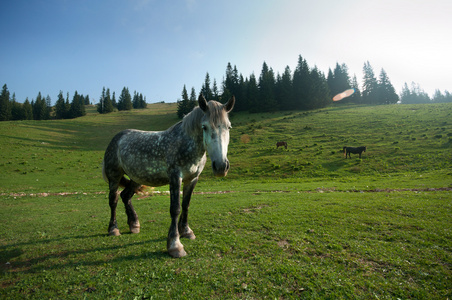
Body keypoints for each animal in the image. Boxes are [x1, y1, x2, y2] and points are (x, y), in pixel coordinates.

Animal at [103, 95, 235, 256]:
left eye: (228, 127)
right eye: (204, 127)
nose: (221, 166)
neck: (185, 143)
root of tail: (116, 138)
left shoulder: (192, 179)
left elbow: (186, 205)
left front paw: (186, 231)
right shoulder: (175, 177)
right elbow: (175, 208)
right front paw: (175, 245)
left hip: (136, 178)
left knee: (125, 196)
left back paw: (134, 225)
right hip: (114, 176)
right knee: (113, 199)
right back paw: (113, 229)